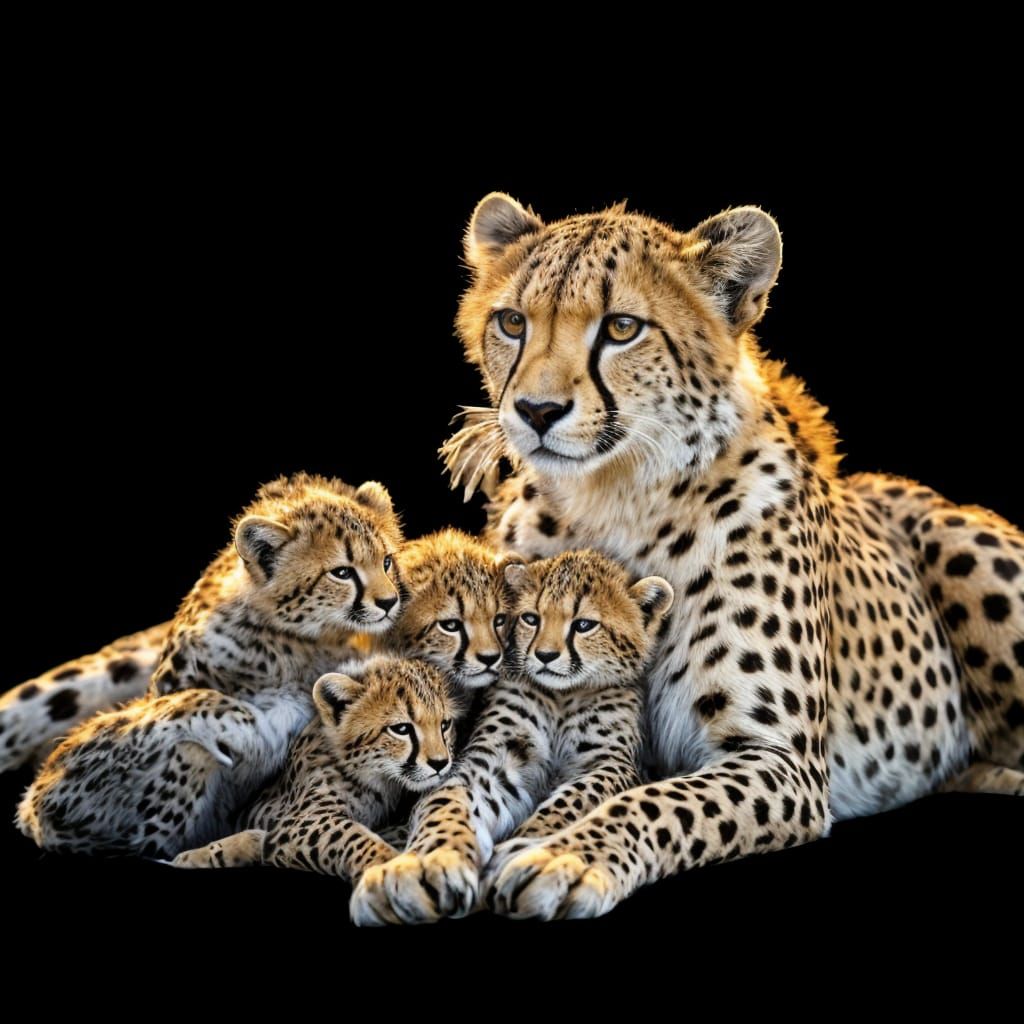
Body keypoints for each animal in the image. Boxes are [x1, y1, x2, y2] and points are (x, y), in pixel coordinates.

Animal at [0, 472, 403, 772]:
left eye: (386, 561)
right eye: (342, 572)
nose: (389, 602)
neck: (290, 640)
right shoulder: (170, 685)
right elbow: (174, 708)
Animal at [172, 656, 458, 881]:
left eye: (444, 724)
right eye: (401, 729)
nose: (440, 763)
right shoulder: (297, 824)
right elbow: (351, 835)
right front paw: (394, 864)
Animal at [350, 549, 673, 925]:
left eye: (583, 625)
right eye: (530, 618)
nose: (545, 656)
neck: (562, 696)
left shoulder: (610, 765)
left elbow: (572, 799)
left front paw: (530, 851)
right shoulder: (496, 758)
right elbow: (445, 800)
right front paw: (425, 862)